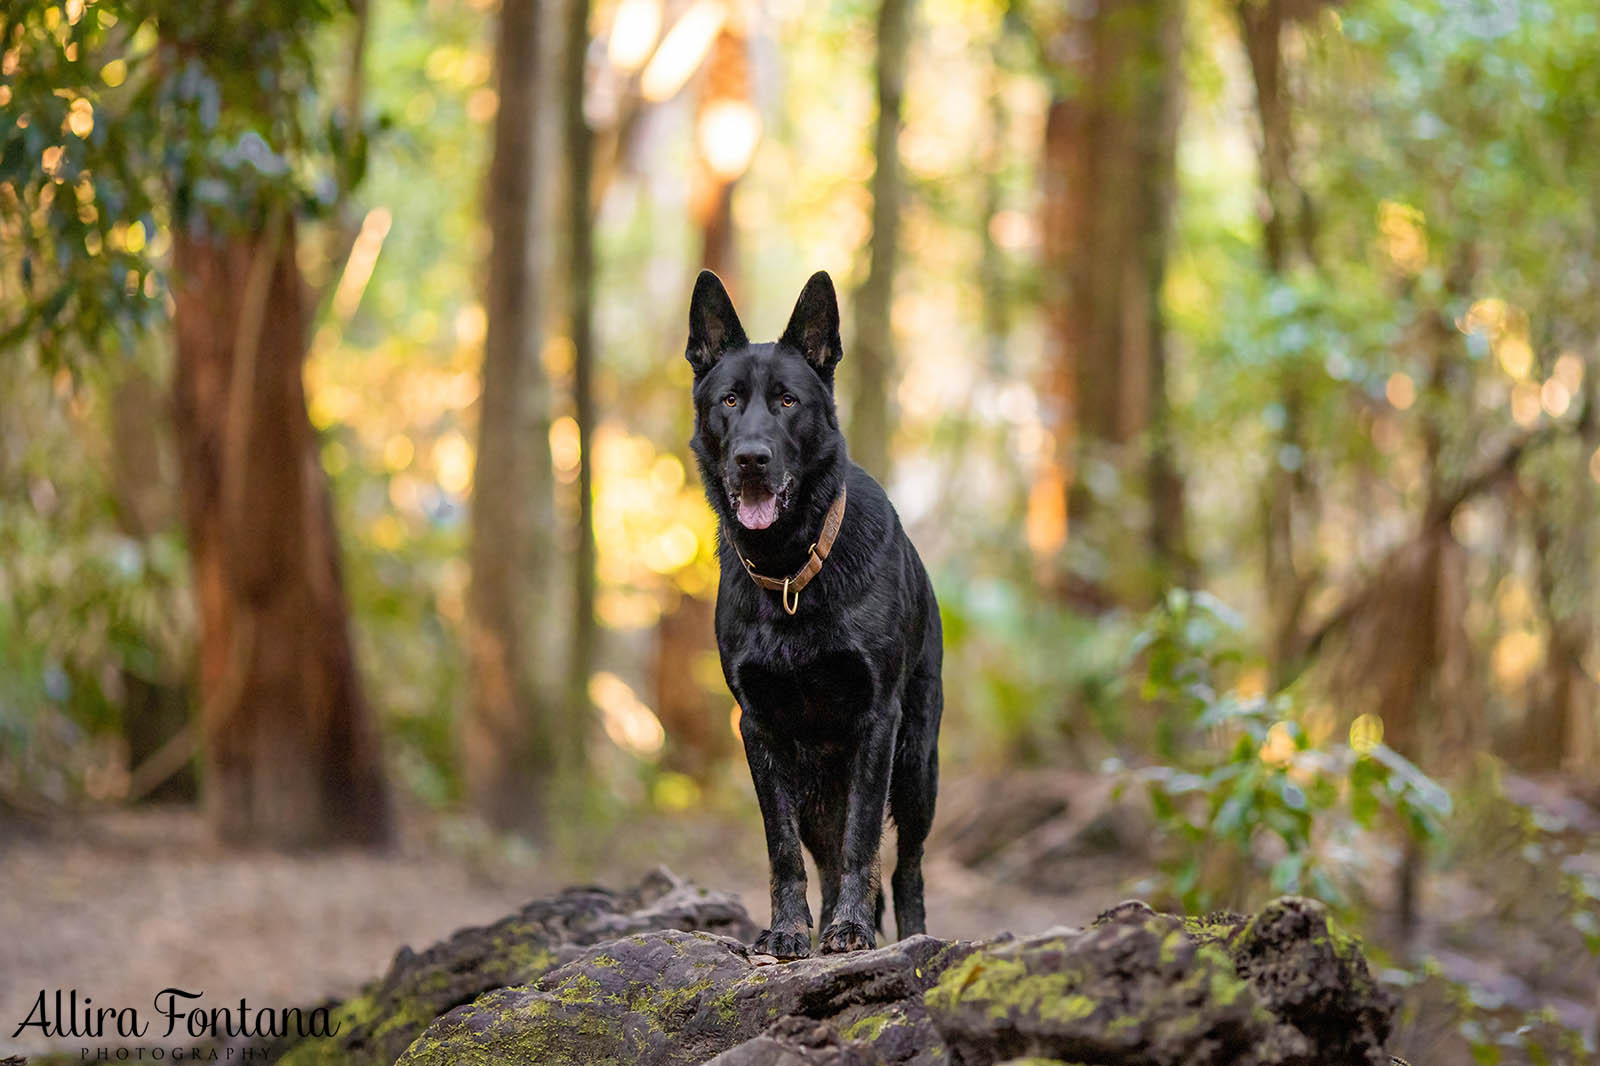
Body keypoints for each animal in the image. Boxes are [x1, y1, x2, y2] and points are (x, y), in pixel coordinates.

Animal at [684, 267, 934, 953]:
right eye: (730, 401)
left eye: (789, 402)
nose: (751, 459)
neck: (792, 569)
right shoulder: (759, 727)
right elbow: (782, 850)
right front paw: (789, 931)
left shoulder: (878, 722)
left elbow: (862, 845)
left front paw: (848, 929)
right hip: (821, 786)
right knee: (825, 855)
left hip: (915, 768)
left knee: (905, 867)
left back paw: (908, 936)